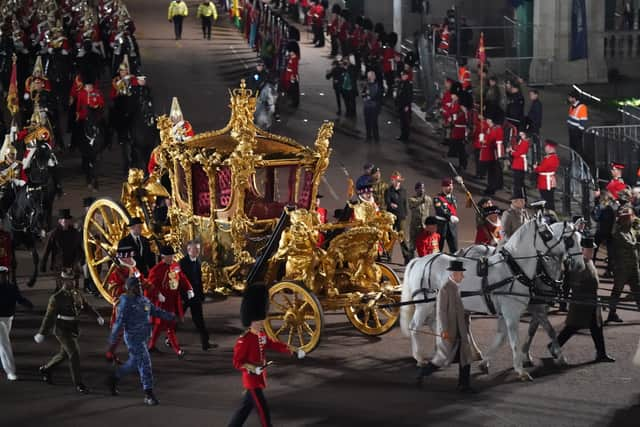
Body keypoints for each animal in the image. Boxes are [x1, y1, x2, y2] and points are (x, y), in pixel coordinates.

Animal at [400, 217, 584, 382]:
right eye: (547, 234)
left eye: (580, 239)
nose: (580, 265)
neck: (513, 270)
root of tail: (420, 260)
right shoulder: (513, 312)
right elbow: (514, 340)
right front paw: (521, 369)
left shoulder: (514, 311)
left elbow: (505, 337)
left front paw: (486, 362)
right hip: (425, 303)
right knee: (415, 326)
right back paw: (420, 358)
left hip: (438, 303)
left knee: (437, 324)